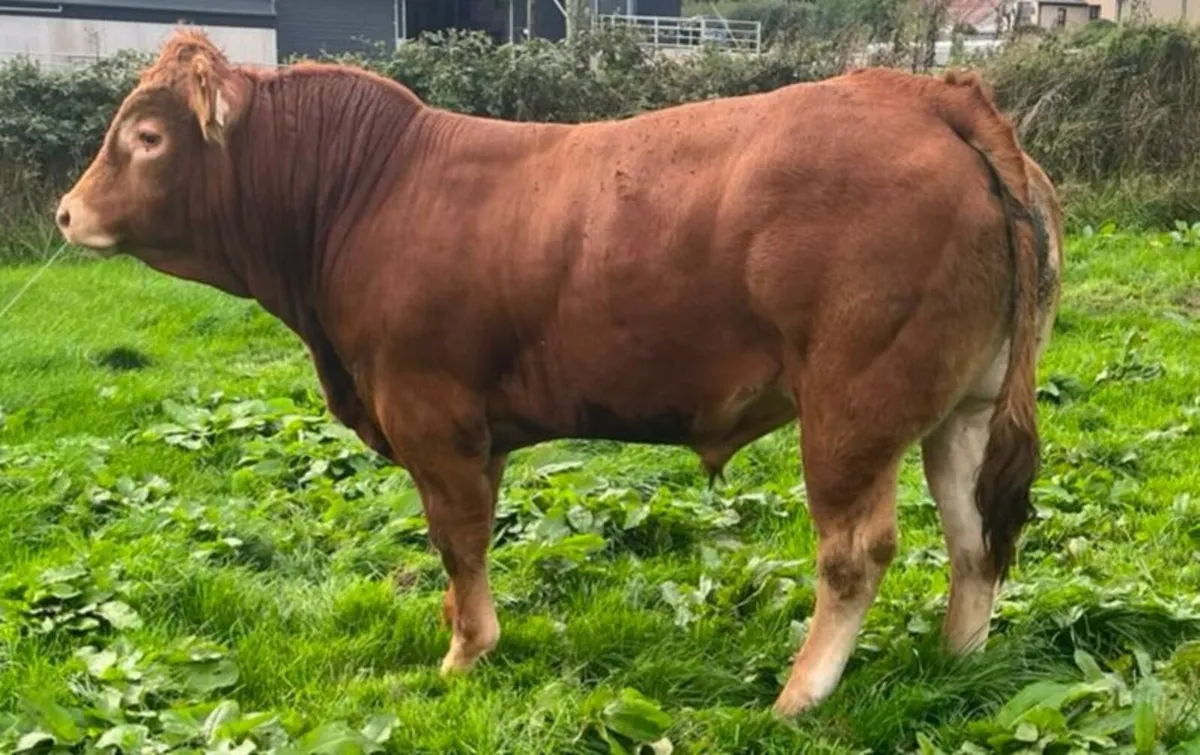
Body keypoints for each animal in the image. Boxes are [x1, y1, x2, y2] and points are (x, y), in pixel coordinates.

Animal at [55, 29, 1064, 716]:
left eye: (146, 136)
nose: (66, 211)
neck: (364, 192)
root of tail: (929, 95)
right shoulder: (481, 429)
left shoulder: (431, 415)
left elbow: (457, 539)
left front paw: (466, 652)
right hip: (964, 406)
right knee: (976, 536)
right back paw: (960, 660)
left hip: (853, 406)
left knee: (857, 552)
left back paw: (800, 694)